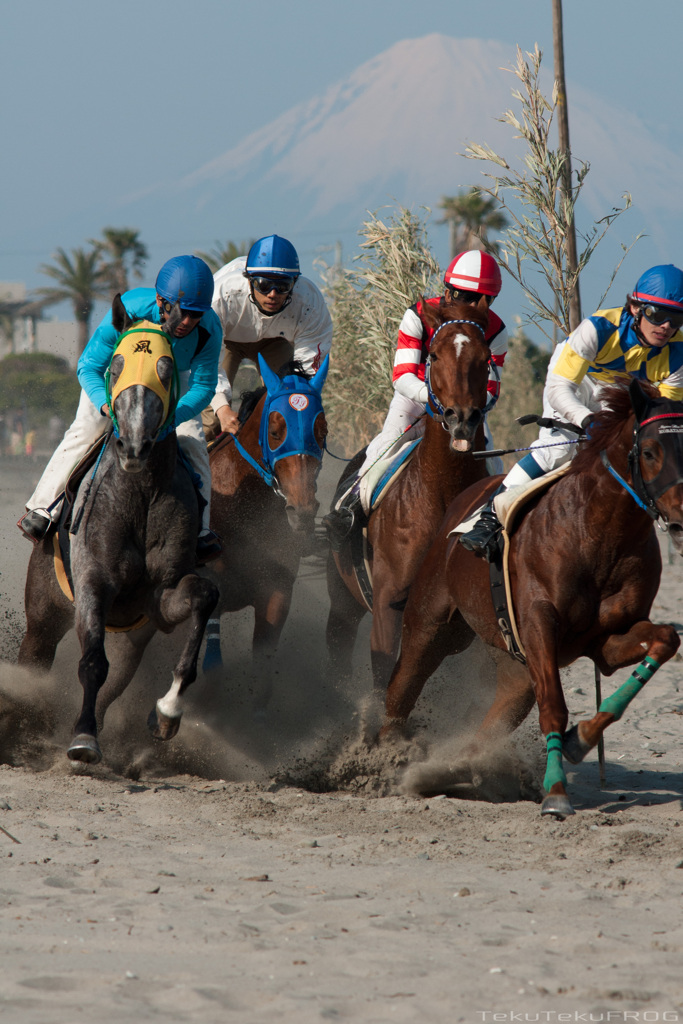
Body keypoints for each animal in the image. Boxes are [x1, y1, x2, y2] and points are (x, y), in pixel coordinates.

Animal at [17, 292, 219, 765]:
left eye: (166, 370)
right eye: (115, 366)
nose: (134, 446)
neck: (140, 493)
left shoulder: (161, 596)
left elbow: (204, 595)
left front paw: (166, 713)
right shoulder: (94, 581)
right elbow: (92, 661)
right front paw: (83, 740)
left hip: (132, 637)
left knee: (115, 683)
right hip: (44, 612)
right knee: (36, 657)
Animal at [202, 354, 327, 712]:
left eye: (322, 431)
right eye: (275, 431)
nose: (302, 510)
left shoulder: (278, 590)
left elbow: (263, 677)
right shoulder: (211, 582)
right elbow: (212, 670)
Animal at [327, 296, 493, 696]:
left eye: (486, 357)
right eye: (433, 353)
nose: (462, 419)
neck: (442, 494)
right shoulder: (388, 602)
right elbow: (385, 674)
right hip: (342, 597)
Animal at [385, 380, 683, 819]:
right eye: (648, 451)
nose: (680, 518)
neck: (597, 534)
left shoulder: (604, 641)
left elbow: (664, 640)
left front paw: (580, 739)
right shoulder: (540, 624)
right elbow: (554, 707)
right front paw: (556, 792)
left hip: (513, 668)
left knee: (491, 724)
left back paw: (460, 770)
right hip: (430, 625)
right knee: (402, 688)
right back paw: (379, 761)